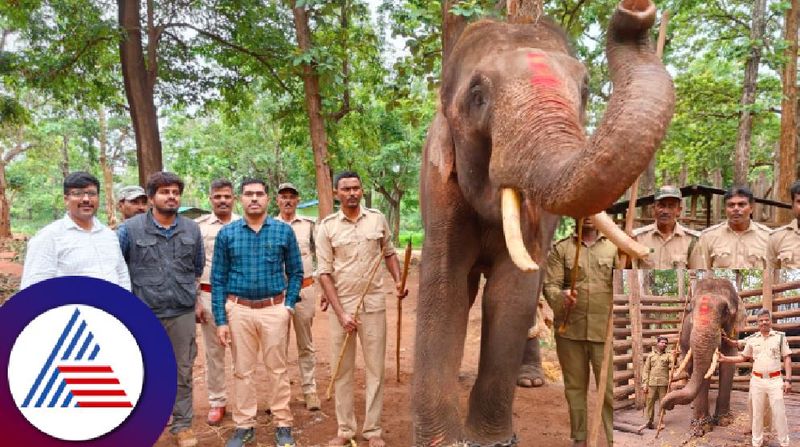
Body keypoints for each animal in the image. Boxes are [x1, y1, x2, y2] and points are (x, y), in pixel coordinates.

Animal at [412, 0, 676, 447]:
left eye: (585, 90)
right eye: (477, 95)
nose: (635, 12)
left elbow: (513, 291)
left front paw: (490, 440)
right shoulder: (439, 184)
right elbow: (444, 287)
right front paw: (444, 440)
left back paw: (531, 380)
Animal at [660, 280, 748, 438]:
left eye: (726, 310)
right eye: (691, 307)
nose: (669, 406)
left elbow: (729, 362)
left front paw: (724, 421)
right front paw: (701, 429)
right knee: (689, 367)